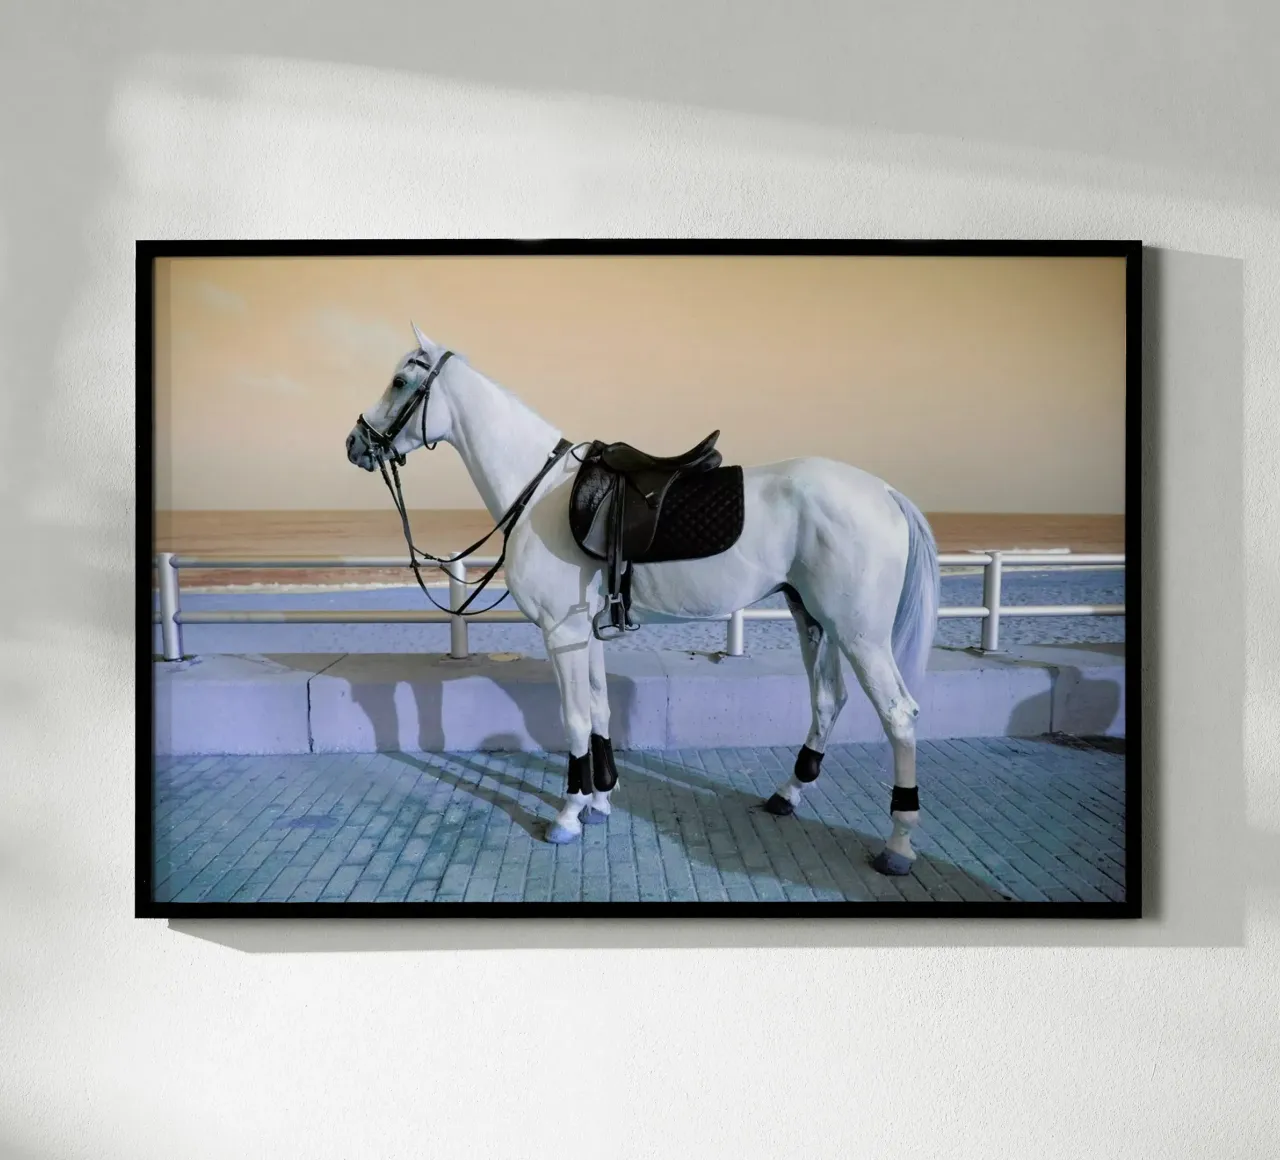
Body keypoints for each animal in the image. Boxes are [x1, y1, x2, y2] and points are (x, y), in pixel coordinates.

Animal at [345, 324, 940, 877]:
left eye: (400, 381)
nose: (355, 443)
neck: (539, 493)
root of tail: (886, 492)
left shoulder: (561, 635)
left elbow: (574, 720)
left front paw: (568, 815)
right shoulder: (586, 634)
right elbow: (599, 710)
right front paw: (600, 799)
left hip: (860, 634)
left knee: (899, 715)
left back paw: (898, 845)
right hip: (813, 619)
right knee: (828, 701)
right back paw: (786, 795)